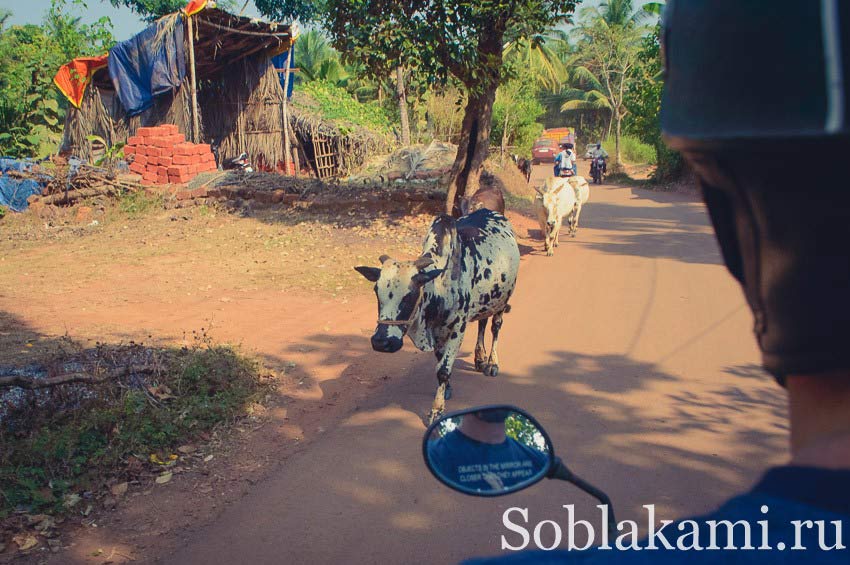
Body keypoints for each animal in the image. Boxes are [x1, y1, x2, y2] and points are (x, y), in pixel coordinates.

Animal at [352, 209, 516, 420]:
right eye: (375, 290)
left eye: (411, 294)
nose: (382, 342)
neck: (440, 285)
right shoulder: (438, 333)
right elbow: (440, 363)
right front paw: (447, 390)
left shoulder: (458, 328)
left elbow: (443, 370)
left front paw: (437, 410)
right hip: (487, 301)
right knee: (482, 323)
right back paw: (479, 359)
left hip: (502, 302)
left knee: (495, 328)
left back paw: (492, 363)